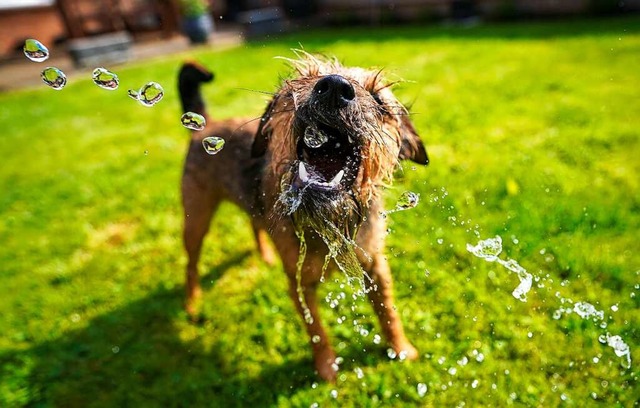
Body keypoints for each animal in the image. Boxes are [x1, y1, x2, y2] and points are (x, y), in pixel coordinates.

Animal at [178, 52, 428, 380]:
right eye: (300, 82)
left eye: (379, 100)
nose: (334, 86)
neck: (331, 220)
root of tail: (206, 125)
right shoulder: (299, 284)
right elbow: (316, 330)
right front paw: (327, 368)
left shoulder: (375, 267)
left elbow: (388, 311)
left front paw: (401, 348)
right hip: (196, 219)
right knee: (191, 263)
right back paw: (192, 303)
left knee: (254, 224)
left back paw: (265, 256)